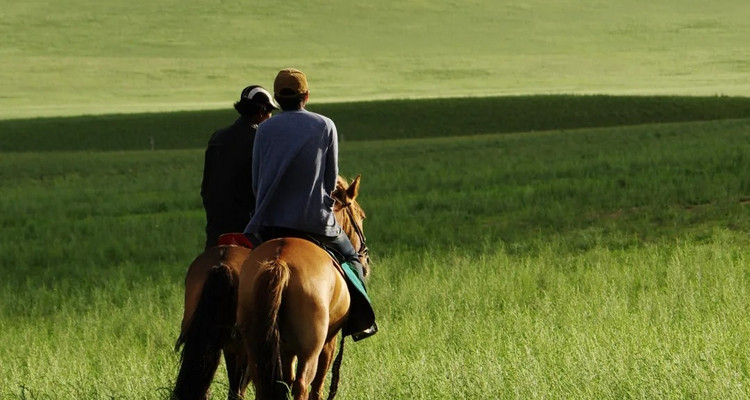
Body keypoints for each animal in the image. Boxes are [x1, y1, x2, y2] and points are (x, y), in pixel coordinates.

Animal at [236, 175, 372, 400]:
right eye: (361, 216)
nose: (366, 261)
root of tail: (279, 262)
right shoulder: (329, 340)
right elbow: (318, 384)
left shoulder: (285, 348)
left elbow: (285, 380)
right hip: (311, 348)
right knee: (302, 384)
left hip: (255, 344)